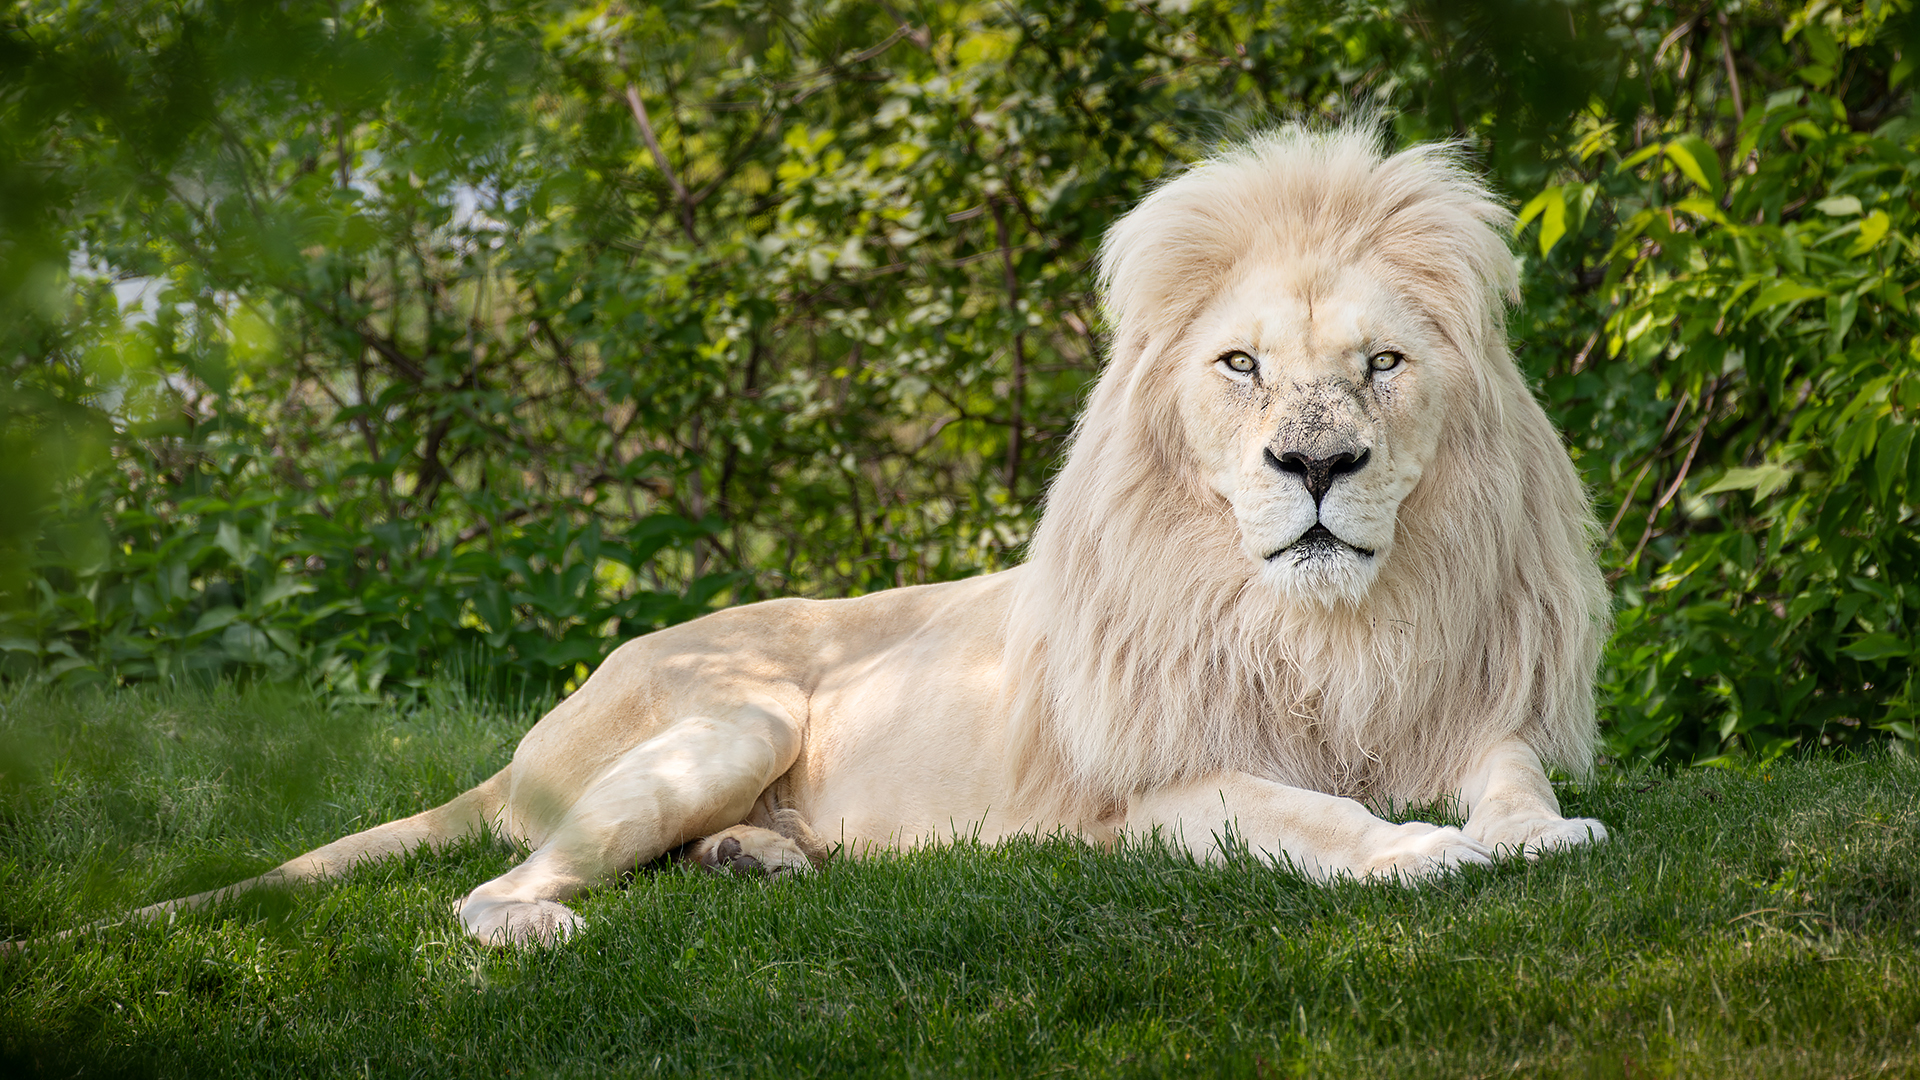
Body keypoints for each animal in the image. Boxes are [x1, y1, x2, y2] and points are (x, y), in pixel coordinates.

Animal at [117, 125, 1610, 946]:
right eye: (1240, 365)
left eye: (1382, 365)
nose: (1315, 465)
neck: (1321, 627)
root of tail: (528, 742)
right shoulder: (1144, 796)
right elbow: (1305, 807)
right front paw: (1423, 853)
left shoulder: (1454, 709)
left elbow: (1514, 772)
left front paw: (1540, 836)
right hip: (739, 716)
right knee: (484, 890)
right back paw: (547, 920)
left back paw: (758, 857)